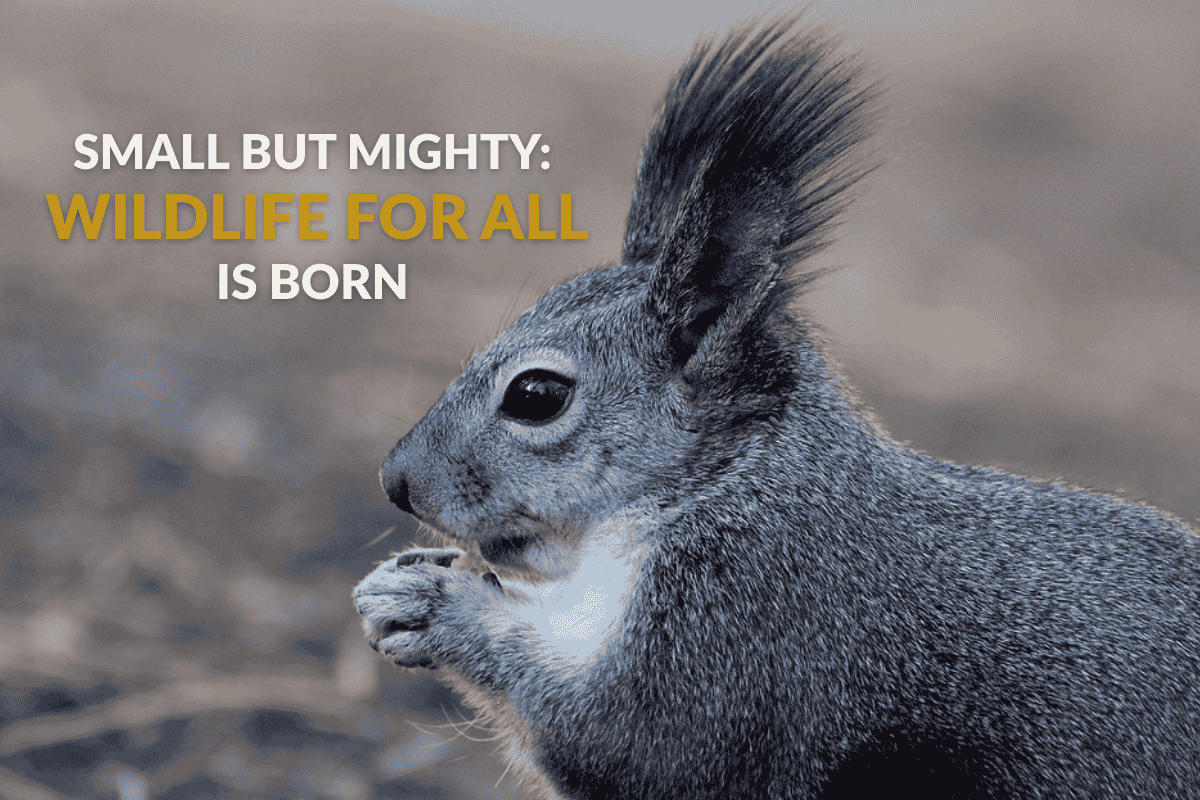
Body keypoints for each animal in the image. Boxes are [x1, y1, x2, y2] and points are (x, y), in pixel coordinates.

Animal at [353, 14, 1200, 799]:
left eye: (537, 396)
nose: (396, 481)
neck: (720, 482)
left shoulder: (751, 625)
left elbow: (633, 740)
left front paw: (435, 604)